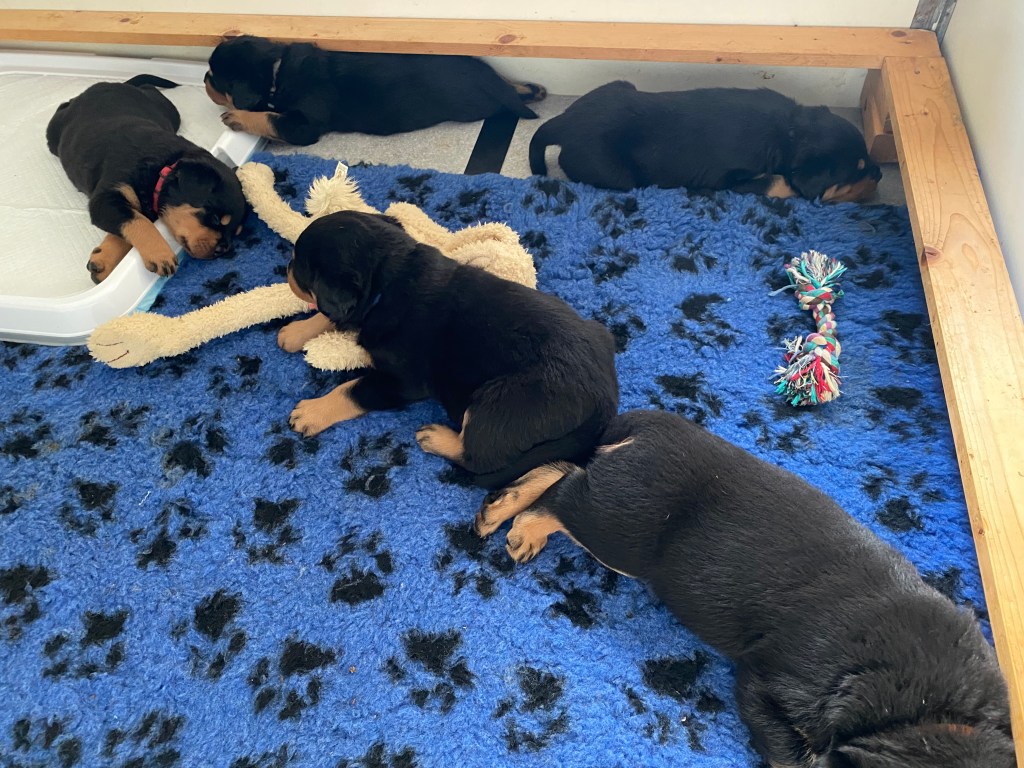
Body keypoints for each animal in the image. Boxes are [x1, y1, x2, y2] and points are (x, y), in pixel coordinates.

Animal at [46, 74, 247, 284]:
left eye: (236, 231)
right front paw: (161, 254)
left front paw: (102, 261)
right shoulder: (107, 197)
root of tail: (114, 84)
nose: (223, 249)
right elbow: (138, 220)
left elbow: (128, 222)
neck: (161, 168)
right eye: (215, 218)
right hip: (55, 131)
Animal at [205, 35, 547, 145]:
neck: (277, 67)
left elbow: (269, 117)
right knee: (504, 79)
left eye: (218, 81)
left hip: (472, 105)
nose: (205, 77)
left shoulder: (304, 126)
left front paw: (237, 117)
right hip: (477, 65)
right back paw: (532, 88)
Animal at [280, 211, 619, 490]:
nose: (286, 267)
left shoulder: (404, 382)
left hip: (498, 405)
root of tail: (606, 400)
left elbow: (351, 389)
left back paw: (436, 437)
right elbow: (327, 314)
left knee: (478, 457)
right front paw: (294, 332)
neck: (390, 283)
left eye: (299, 266)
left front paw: (311, 412)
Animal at [475, 409, 1015, 767]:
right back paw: (520, 524)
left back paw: (503, 506)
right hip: (623, 529)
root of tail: (646, 425)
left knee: (567, 471)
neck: (929, 708)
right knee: (563, 491)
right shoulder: (766, 683)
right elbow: (796, 756)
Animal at [529, 81, 882, 203]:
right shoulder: (727, 180)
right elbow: (780, 182)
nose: (879, 174)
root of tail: (563, 122)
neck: (789, 134)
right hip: (617, 174)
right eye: (856, 170)